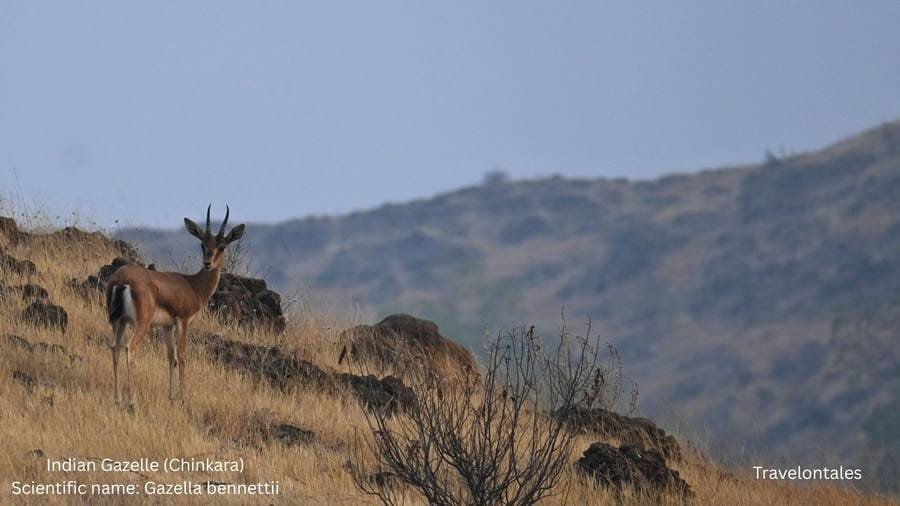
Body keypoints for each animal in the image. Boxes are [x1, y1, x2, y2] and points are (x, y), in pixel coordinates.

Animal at [105, 205, 244, 404]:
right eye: (203, 244)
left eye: (221, 246)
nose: (208, 263)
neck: (193, 286)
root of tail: (121, 279)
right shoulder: (183, 321)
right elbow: (182, 356)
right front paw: (183, 398)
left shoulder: (166, 326)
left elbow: (171, 357)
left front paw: (170, 396)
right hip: (141, 324)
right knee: (129, 348)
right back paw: (132, 400)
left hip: (119, 322)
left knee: (114, 348)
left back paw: (117, 399)